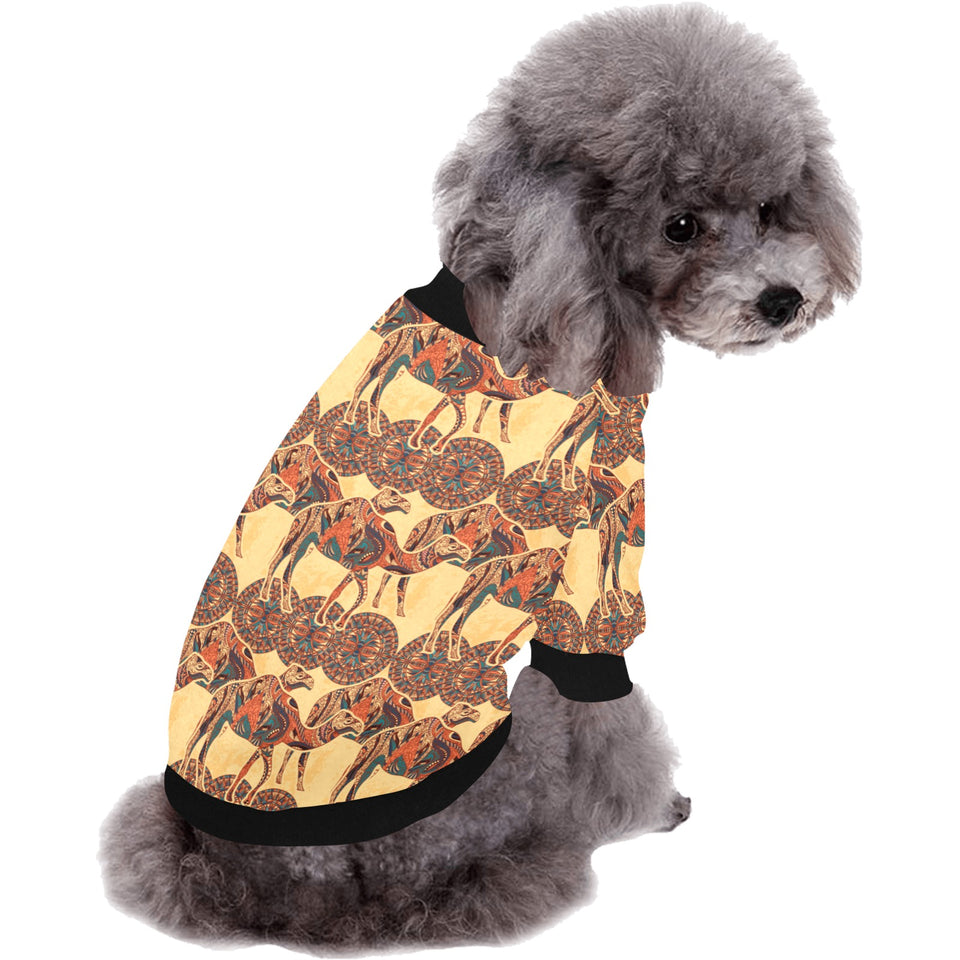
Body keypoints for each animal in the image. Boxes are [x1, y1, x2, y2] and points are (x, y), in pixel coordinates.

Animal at [329, 701, 481, 803]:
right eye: (465, 710)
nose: (477, 714)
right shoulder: (422, 773)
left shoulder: (420, 776)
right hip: (366, 761)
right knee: (349, 787)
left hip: (367, 764)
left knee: (346, 784)